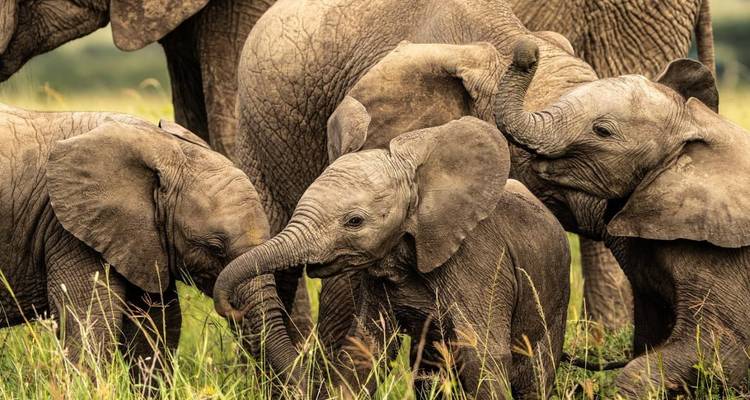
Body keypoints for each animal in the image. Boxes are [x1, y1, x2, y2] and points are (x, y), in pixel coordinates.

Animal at [0, 104, 283, 380]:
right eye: (214, 248)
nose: (236, 310)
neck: (161, 144)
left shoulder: (138, 240)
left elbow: (157, 325)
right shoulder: (67, 231)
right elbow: (91, 324)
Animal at [216, 117, 571, 399]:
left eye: (354, 221)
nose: (230, 307)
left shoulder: (479, 262)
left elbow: (481, 355)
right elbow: (365, 350)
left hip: (554, 298)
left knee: (535, 374)